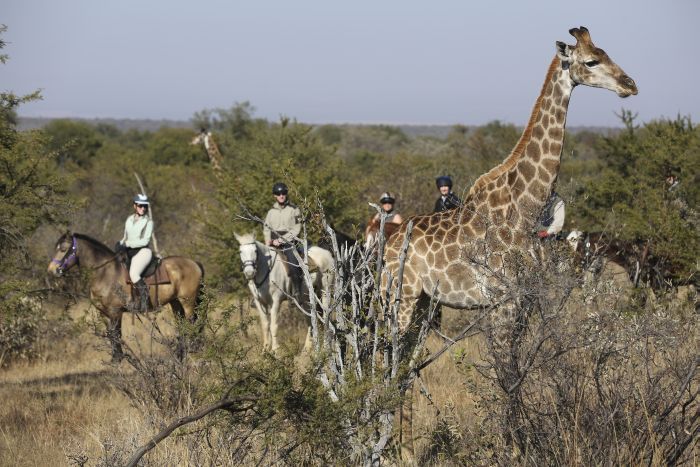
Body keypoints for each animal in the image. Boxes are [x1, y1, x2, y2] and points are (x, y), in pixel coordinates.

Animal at [47, 232, 202, 364]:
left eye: (63, 249)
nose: (52, 270)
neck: (104, 273)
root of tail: (194, 263)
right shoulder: (104, 313)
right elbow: (110, 334)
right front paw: (115, 359)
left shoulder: (115, 311)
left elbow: (116, 334)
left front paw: (118, 358)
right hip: (175, 303)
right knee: (182, 326)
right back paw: (179, 355)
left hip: (187, 302)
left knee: (191, 322)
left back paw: (190, 349)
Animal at [382, 24, 640, 458]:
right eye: (591, 61)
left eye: (607, 53)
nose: (630, 85)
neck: (525, 207)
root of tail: (383, 244)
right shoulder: (502, 302)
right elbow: (507, 374)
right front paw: (515, 449)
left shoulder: (525, 300)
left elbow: (516, 372)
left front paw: (522, 444)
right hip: (398, 298)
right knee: (389, 359)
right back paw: (389, 445)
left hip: (424, 306)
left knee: (407, 363)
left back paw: (405, 449)